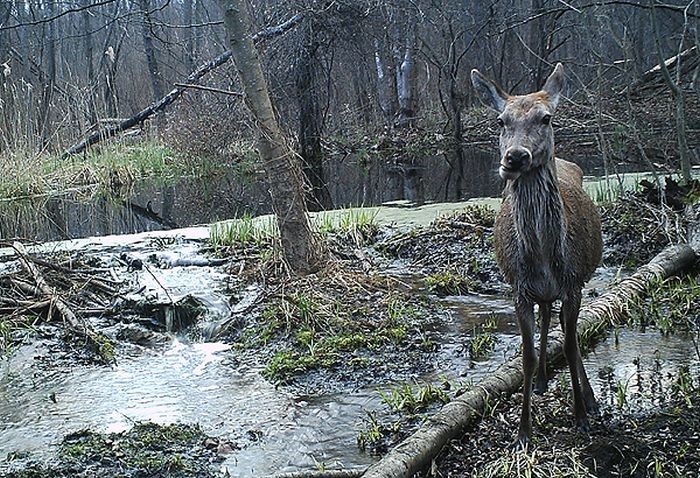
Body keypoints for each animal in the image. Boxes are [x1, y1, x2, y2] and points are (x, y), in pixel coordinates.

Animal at [474, 63, 604, 444]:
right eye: (500, 120)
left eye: (546, 118)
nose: (515, 157)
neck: (545, 258)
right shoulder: (518, 289)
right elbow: (527, 356)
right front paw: (523, 431)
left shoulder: (574, 284)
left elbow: (572, 344)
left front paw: (581, 416)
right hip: (541, 293)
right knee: (547, 316)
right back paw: (544, 380)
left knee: (564, 329)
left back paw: (590, 399)